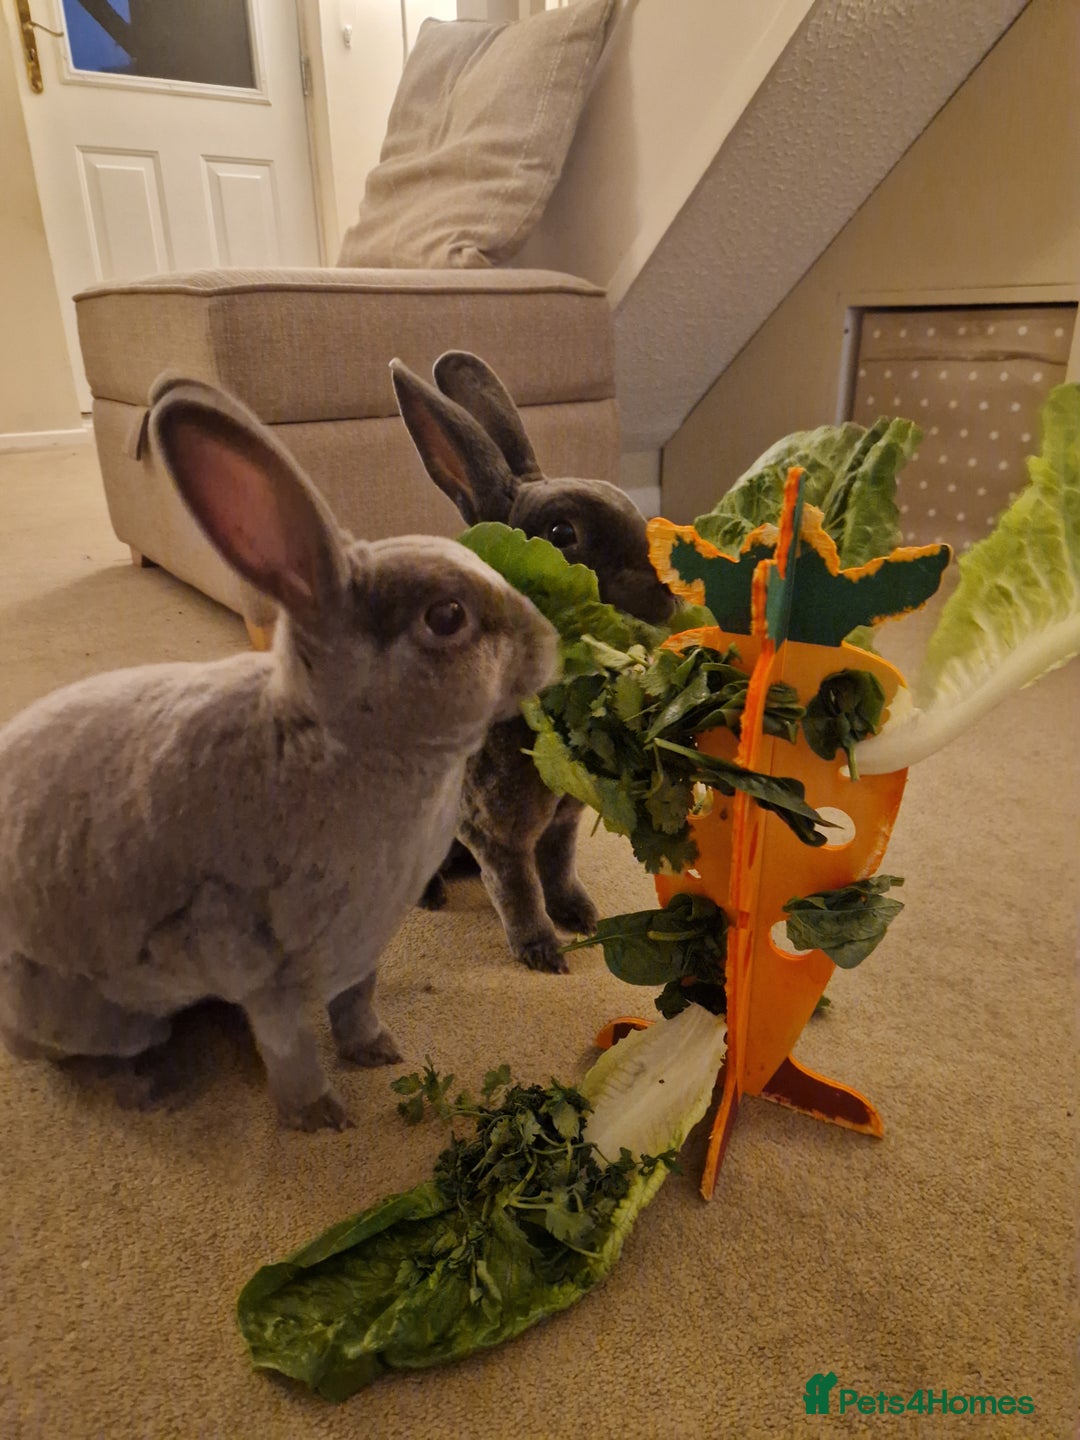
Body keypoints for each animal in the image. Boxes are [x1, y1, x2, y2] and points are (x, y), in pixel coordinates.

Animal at [0, 376, 558, 1130]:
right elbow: (289, 1044)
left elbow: (356, 1008)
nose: (550, 644)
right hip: (97, 1008)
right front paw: (322, 1116)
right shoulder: (263, 969)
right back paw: (146, 1088)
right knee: (70, 1058)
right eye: (446, 617)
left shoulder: (363, 950)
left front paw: (379, 1053)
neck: (336, 742)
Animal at [390, 351, 675, 973]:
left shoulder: (564, 819)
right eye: (562, 533)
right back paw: (433, 894)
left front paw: (581, 916)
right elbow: (518, 889)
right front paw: (544, 952)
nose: (668, 593)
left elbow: (559, 869)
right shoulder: (497, 832)